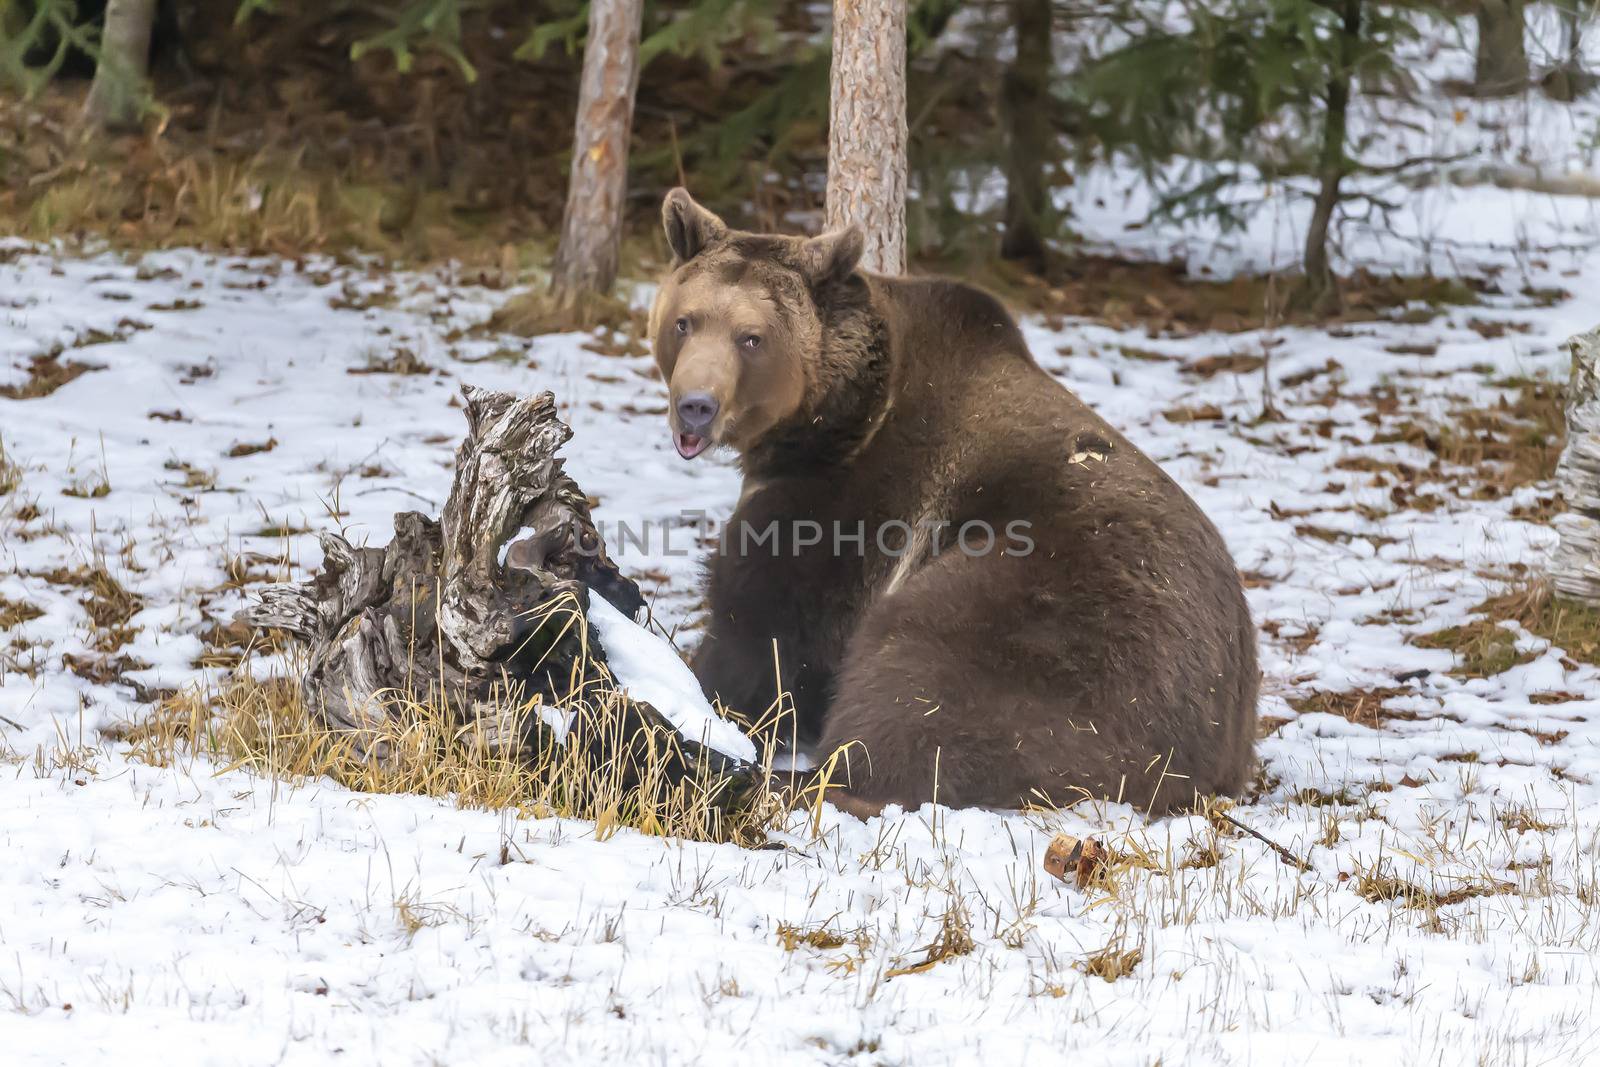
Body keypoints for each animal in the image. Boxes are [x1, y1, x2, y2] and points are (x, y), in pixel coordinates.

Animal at [649, 187, 1260, 812]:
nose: (696, 406)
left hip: (1056, 617)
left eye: (752, 337)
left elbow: (765, 630)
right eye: (684, 322)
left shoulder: (854, 503)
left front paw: (700, 695)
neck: (830, 423)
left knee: (921, 676)